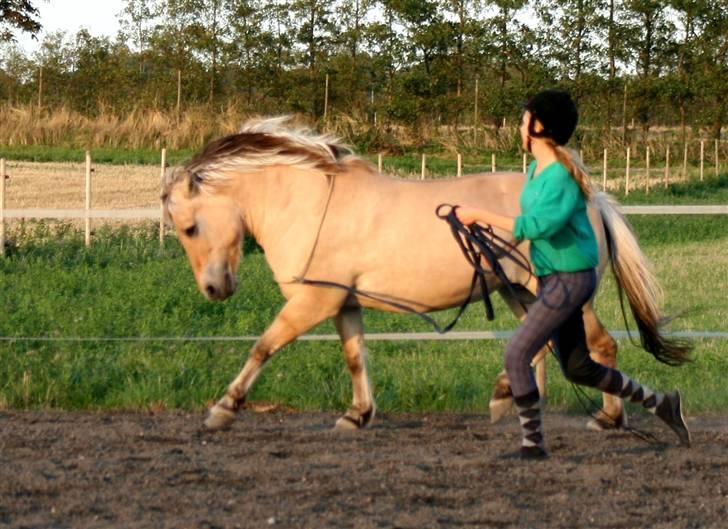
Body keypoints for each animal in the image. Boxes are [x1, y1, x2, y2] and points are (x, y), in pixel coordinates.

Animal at [162, 117, 672, 432]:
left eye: (189, 227)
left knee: (600, 346)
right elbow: (356, 357)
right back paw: (511, 400)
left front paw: (223, 409)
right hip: (522, 293)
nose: (214, 289)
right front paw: (357, 415)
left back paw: (608, 418)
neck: (309, 204)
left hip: (565, 296)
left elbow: (264, 346)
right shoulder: (342, 302)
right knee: (538, 344)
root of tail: (591, 200)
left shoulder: (313, 301)